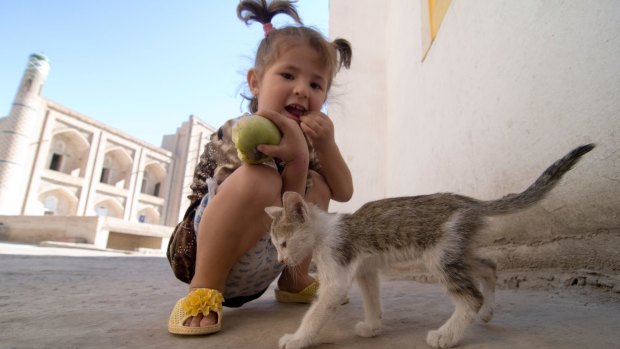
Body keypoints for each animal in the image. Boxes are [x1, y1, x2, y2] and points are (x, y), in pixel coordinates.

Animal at [266, 143, 596, 346]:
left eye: (283, 243)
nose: (281, 261)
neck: (324, 232)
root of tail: (470, 202)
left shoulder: (337, 274)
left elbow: (316, 312)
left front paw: (296, 339)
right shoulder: (366, 270)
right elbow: (373, 300)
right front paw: (372, 327)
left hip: (441, 257)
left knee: (471, 298)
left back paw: (447, 335)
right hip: (457, 251)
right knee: (489, 265)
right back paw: (487, 311)